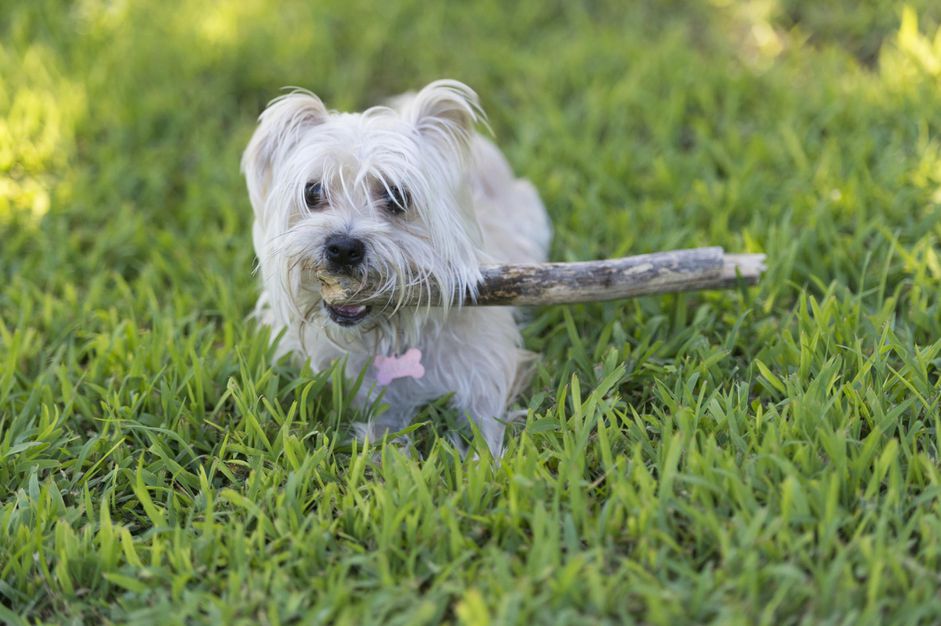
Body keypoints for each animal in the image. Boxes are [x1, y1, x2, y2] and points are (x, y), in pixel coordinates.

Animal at [241, 80, 552, 456]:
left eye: (397, 197)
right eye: (313, 191)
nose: (343, 249)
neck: (391, 333)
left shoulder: (486, 375)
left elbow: (488, 430)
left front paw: (486, 460)